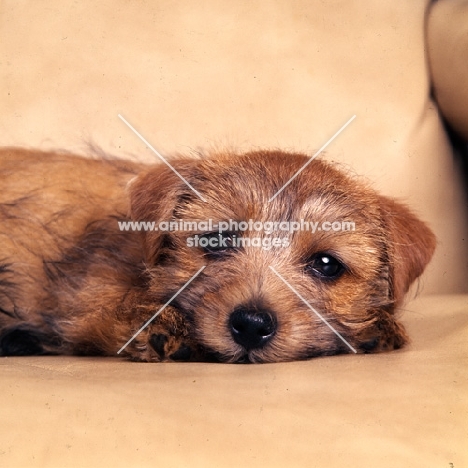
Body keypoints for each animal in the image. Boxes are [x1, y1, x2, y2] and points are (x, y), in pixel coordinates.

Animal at [0, 148, 436, 364]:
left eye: (327, 264)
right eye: (216, 240)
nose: (251, 325)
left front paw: (376, 327)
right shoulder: (82, 296)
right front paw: (155, 323)